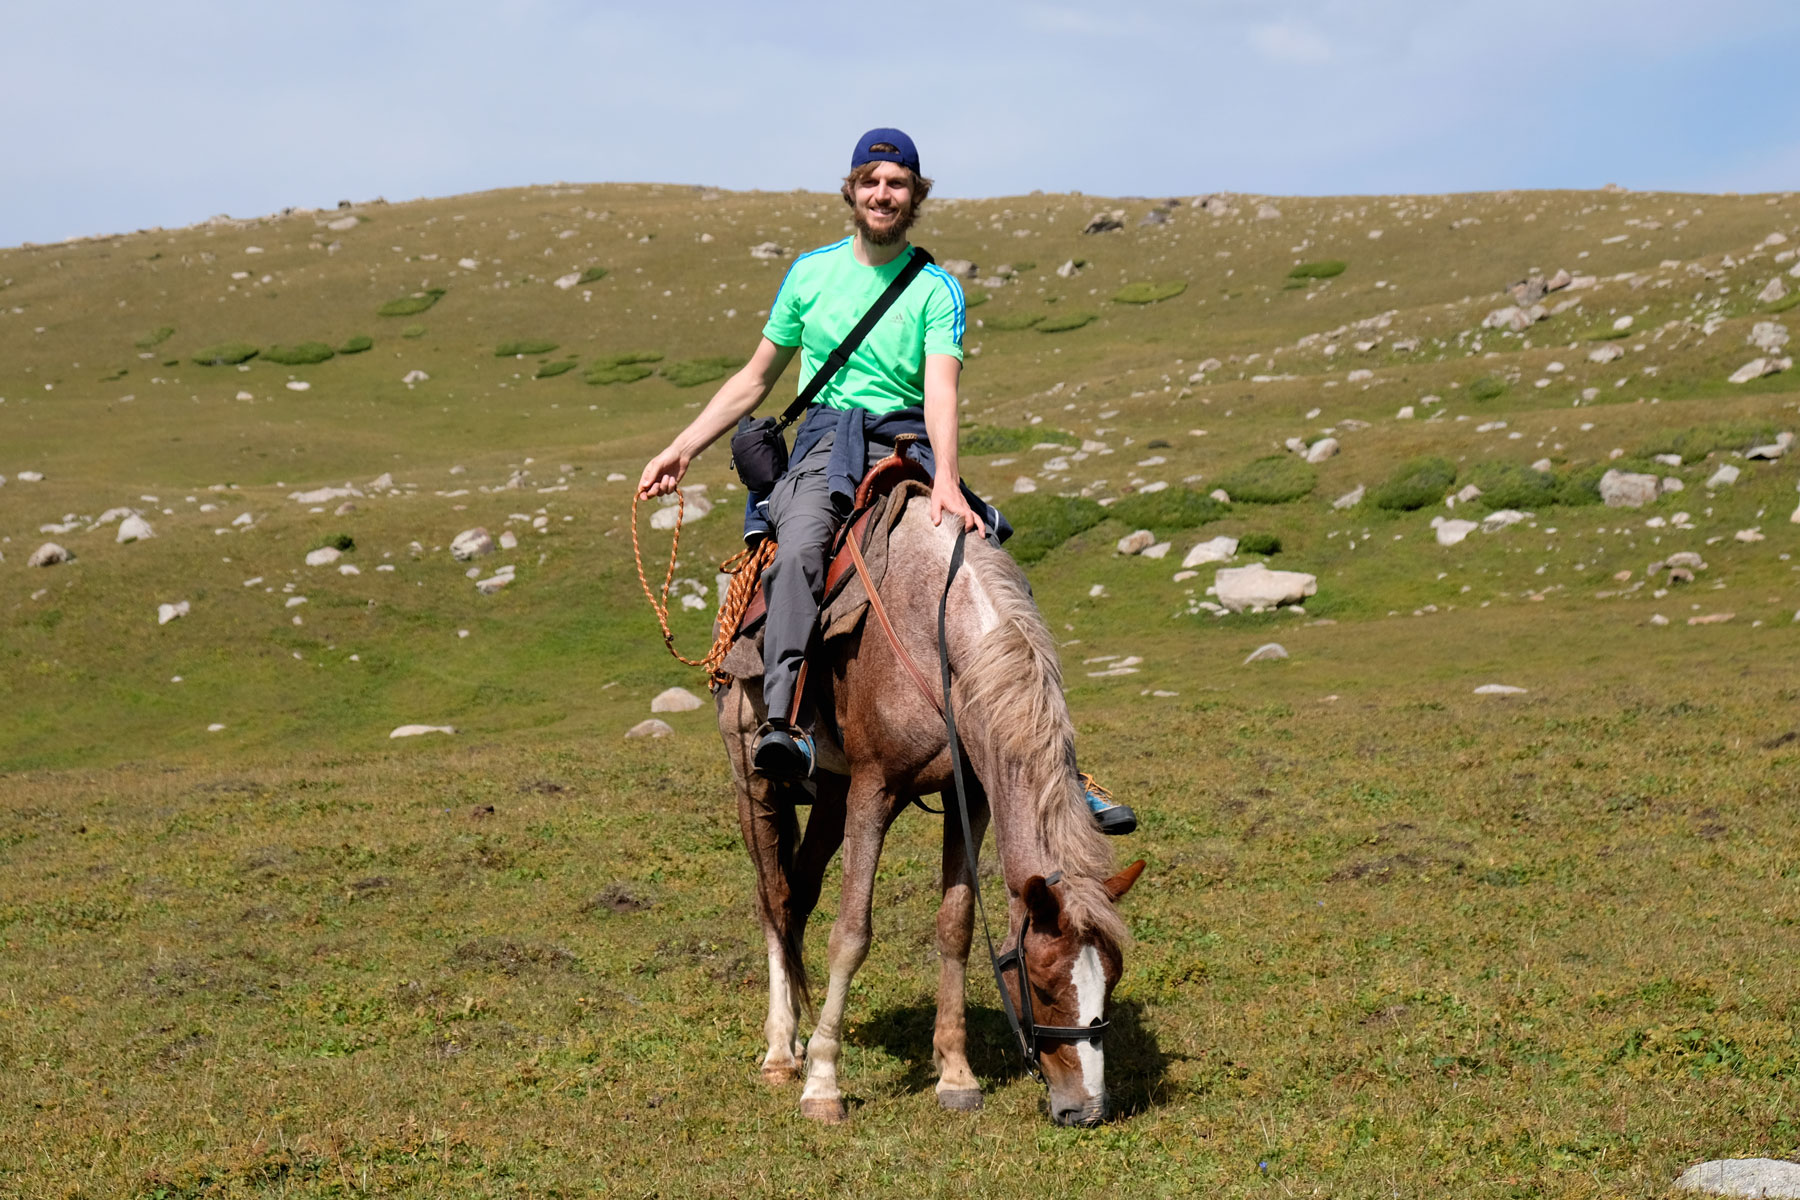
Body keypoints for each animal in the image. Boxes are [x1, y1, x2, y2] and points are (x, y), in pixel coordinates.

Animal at [712, 489, 1144, 1129]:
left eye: (1111, 978)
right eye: (1042, 983)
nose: (1085, 1110)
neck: (940, 642)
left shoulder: (970, 796)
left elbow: (955, 926)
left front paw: (956, 1075)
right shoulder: (874, 790)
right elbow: (852, 933)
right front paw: (823, 1084)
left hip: (830, 793)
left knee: (798, 896)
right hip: (754, 783)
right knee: (773, 900)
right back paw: (780, 1052)